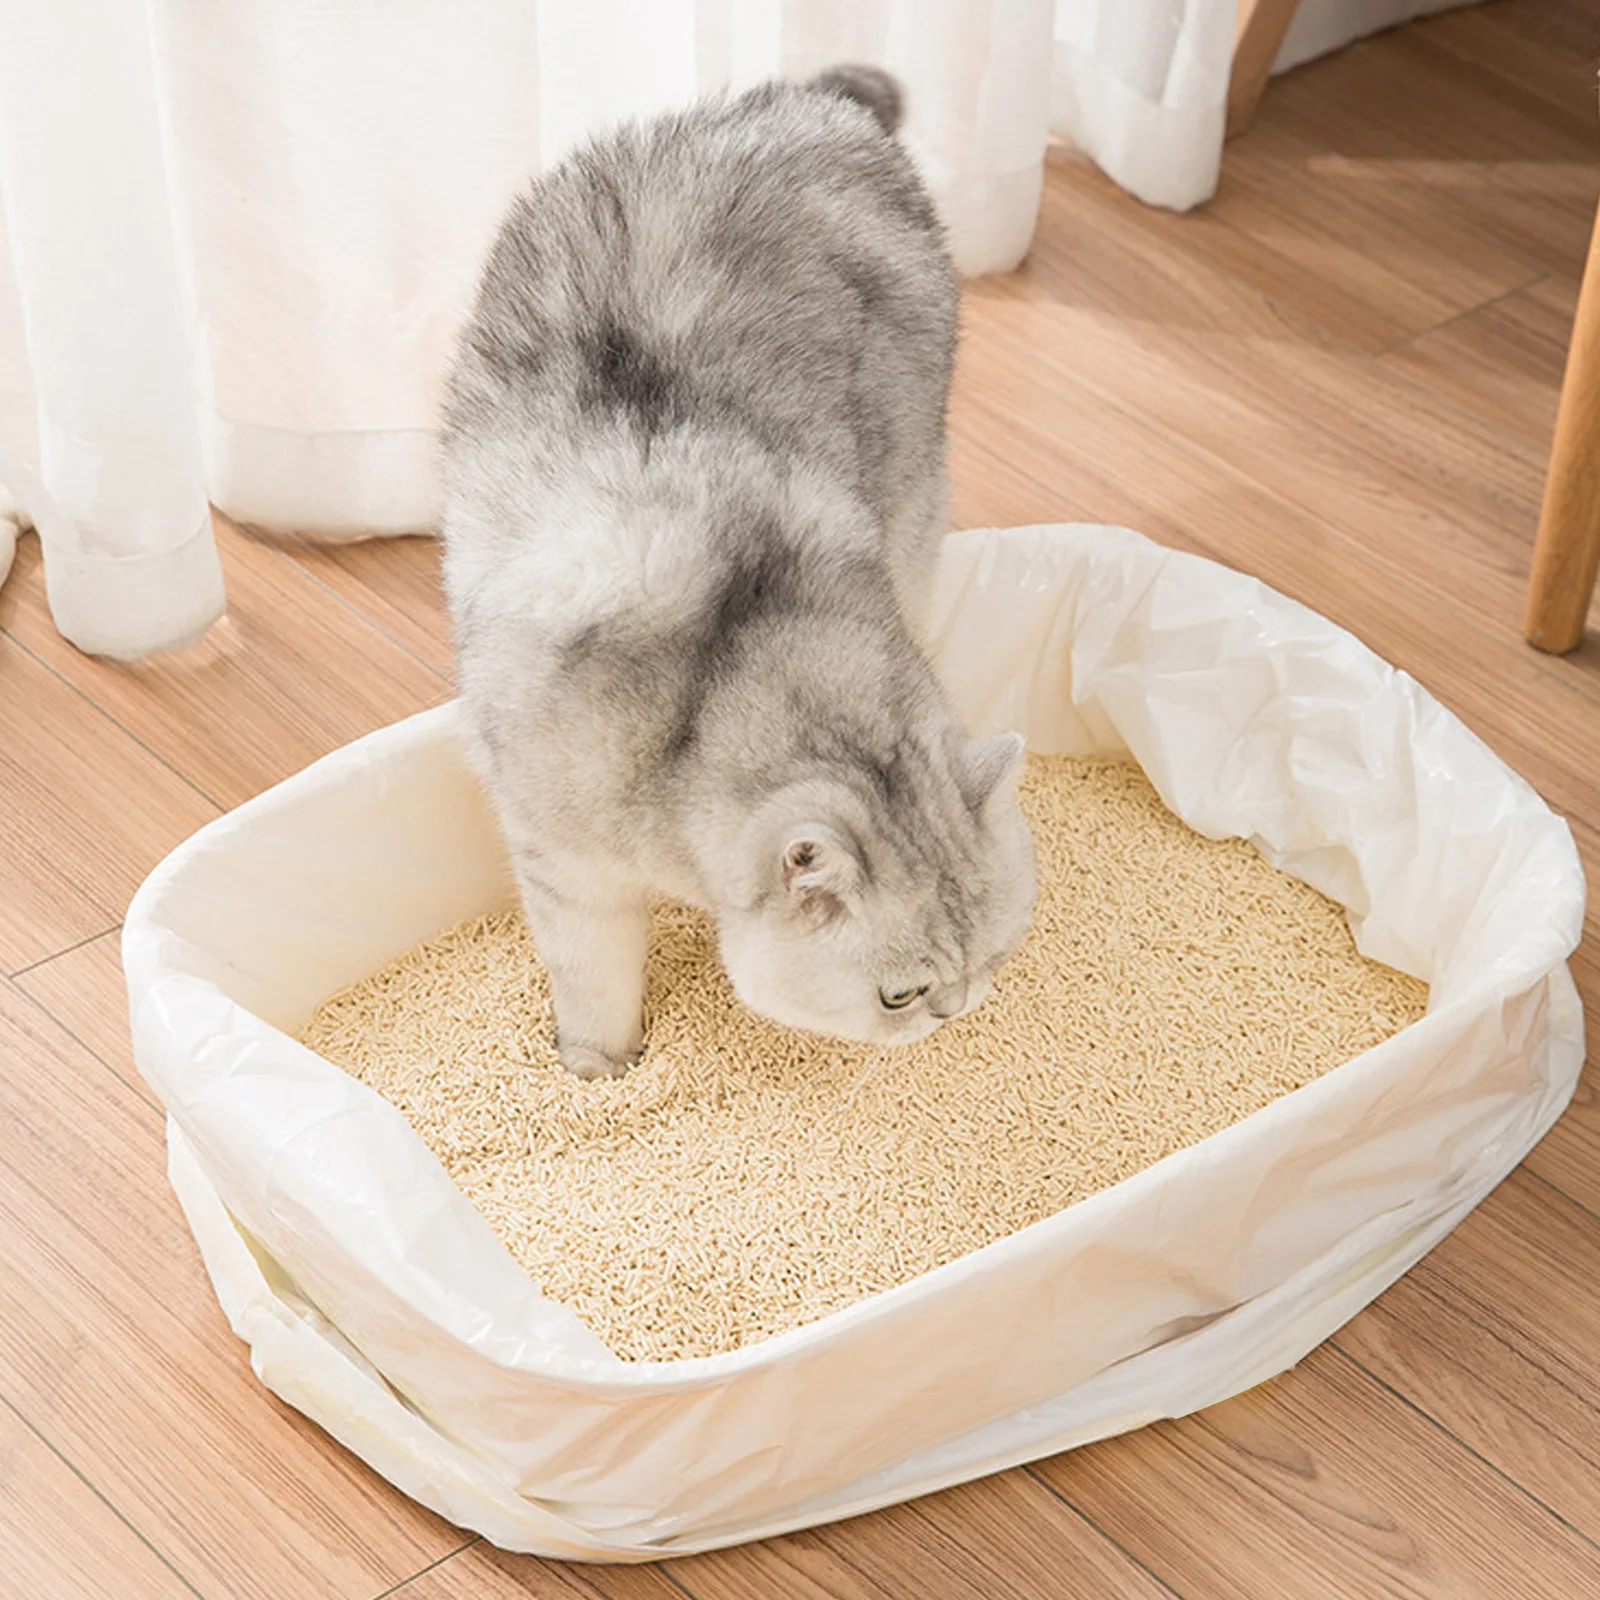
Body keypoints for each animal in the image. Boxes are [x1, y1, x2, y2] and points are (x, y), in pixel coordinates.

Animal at [438, 68, 1036, 1081]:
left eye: (992, 958)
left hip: (917, 494)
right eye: (900, 994)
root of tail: (808, 100)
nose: (955, 1011)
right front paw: (598, 1074)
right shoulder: (565, 868)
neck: (711, 684)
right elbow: (593, 983)